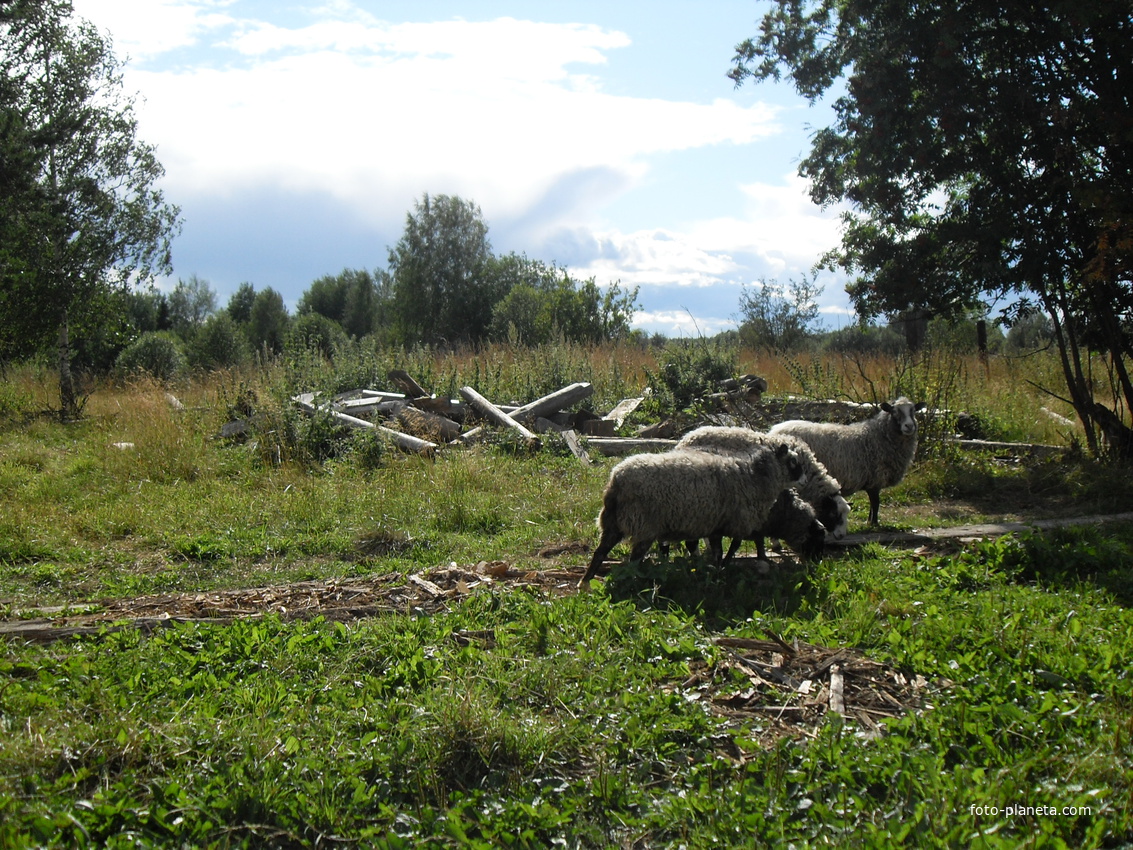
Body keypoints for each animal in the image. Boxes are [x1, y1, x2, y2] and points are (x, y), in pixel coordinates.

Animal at [580, 442, 811, 589]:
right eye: (793, 462)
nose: (805, 481)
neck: (755, 475)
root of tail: (616, 481)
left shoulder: (715, 524)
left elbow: (718, 549)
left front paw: (714, 568)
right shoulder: (735, 520)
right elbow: (731, 547)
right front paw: (723, 567)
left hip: (612, 523)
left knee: (600, 552)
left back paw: (585, 583)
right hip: (644, 525)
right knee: (633, 560)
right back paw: (631, 581)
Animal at [765, 398, 924, 525]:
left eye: (913, 411)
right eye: (894, 411)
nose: (909, 426)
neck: (878, 435)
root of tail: (773, 431)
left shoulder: (872, 480)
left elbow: (874, 503)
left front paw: (870, 521)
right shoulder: (875, 478)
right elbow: (876, 502)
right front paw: (874, 523)